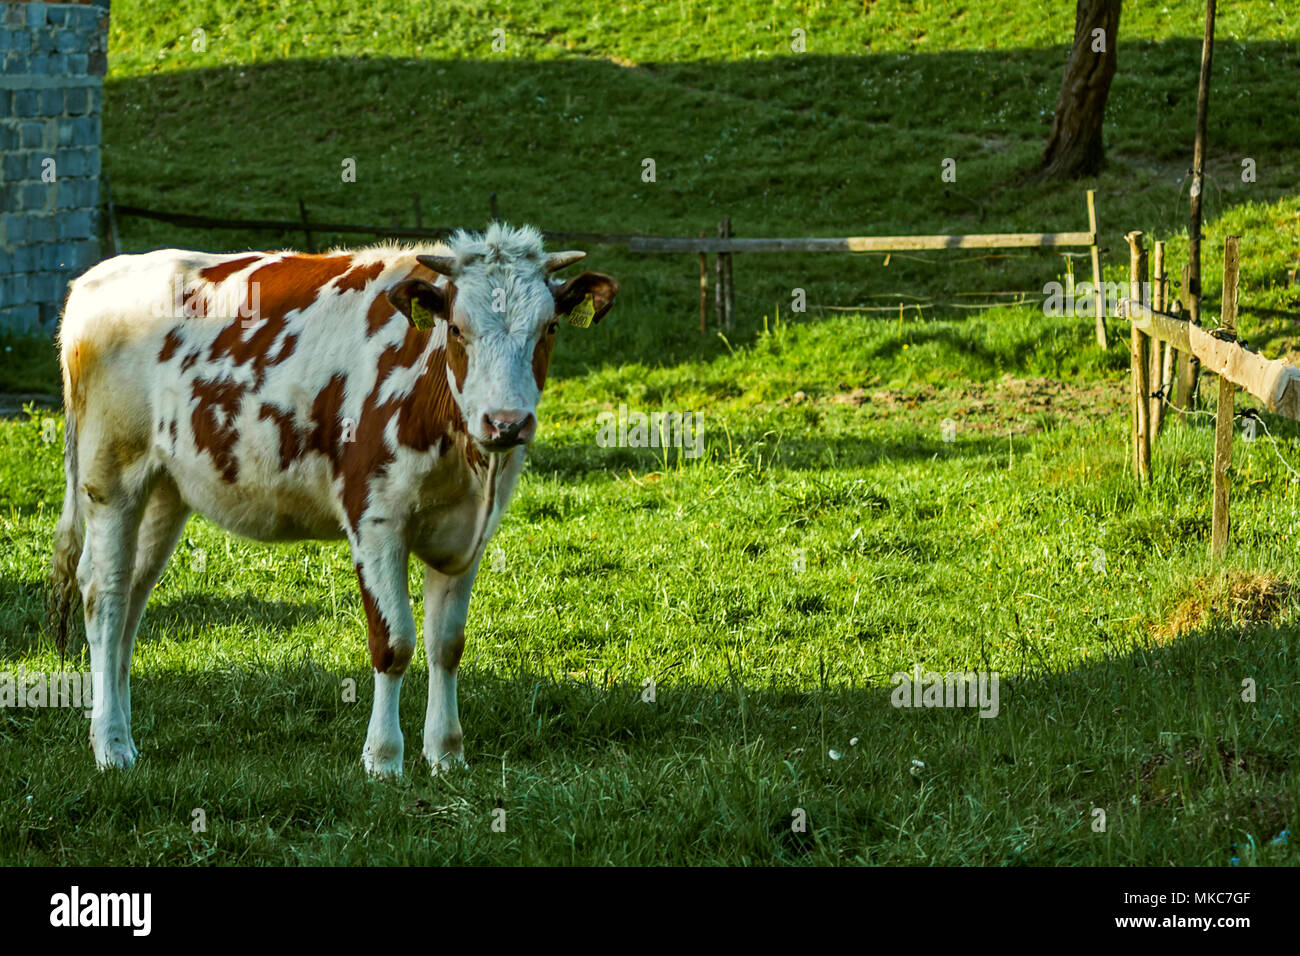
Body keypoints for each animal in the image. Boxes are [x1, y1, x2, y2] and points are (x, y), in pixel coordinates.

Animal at [45, 223, 618, 780]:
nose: (506, 423)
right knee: (104, 598)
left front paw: (446, 753)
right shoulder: (376, 517)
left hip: (165, 489)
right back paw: (111, 747)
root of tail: (93, 282)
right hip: (111, 478)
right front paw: (384, 758)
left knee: (131, 602)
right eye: (457, 329)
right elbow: (394, 644)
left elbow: (446, 645)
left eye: (548, 329)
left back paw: (120, 734)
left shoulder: (468, 533)